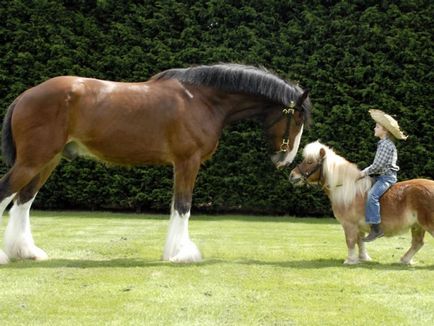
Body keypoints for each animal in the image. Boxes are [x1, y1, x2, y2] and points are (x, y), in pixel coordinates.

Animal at [0, 62, 312, 264]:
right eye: (296, 119)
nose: (284, 159)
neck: (203, 99)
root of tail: (25, 96)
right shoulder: (187, 162)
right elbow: (183, 205)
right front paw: (181, 254)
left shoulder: (181, 164)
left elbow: (177, 206)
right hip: (33, 160)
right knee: (6, 192)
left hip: (47, 161)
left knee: (23, 201)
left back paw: (27, 252)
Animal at [288, 141, 434, 264]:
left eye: (309, 161)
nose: (292, 175)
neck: (346, 189)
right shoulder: (360, 226)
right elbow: (361, 241)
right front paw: (363, 258)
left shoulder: (349, 225)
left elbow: (351, 241)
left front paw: (350, 260)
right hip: (417, 225)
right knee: (417, 243)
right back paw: (405, 260)